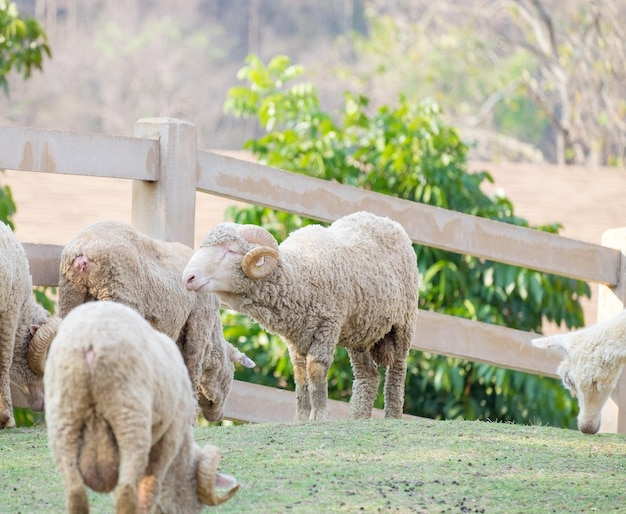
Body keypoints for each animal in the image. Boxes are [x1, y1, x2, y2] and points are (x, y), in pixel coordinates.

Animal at [36, 220, 254, 420]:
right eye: (232, 370)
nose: (218, 416)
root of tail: (83, 255)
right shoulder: (199, 324)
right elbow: (191, 369)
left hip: (71, 296)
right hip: (118, 296)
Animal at [44, 300, 239, 512]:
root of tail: (91, 343)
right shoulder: (170, 434)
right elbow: (149, 488)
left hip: (63, 417)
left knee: (75, 492)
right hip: (130, 414)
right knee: (126, 491)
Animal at [183, 210, 422, 418]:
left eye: (230, 251)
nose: (188, 278)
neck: (300, 275)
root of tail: (386, 220)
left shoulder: (327, 325)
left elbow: (316, 371)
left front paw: (318, 417)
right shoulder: (295, 339)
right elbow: (300, 376)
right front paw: (300, 419)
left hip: (404, 322)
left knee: (397, 371)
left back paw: (392, 416)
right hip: (361, 331)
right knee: (367, 376)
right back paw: (358, 418)